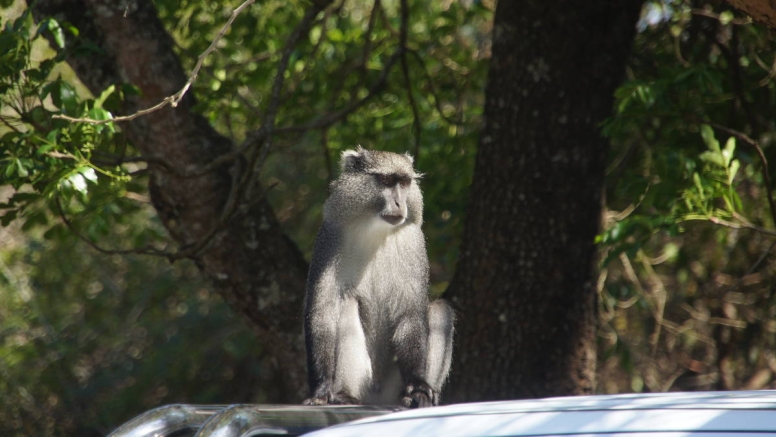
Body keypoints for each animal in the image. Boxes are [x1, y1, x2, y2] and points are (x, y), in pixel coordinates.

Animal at [302, 147, 454, 408]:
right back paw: (344, 395)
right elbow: (323, 311)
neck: (374, 229)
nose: (399, 202)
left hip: (391, 389)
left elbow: (410, 314)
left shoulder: (413, 240)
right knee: (347, 304)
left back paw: (413, 396)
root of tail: (375, 396)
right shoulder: (329, 237)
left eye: (404, 182)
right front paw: (321, 389)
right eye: (385, 181)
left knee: (440, 309)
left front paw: (419, 386)